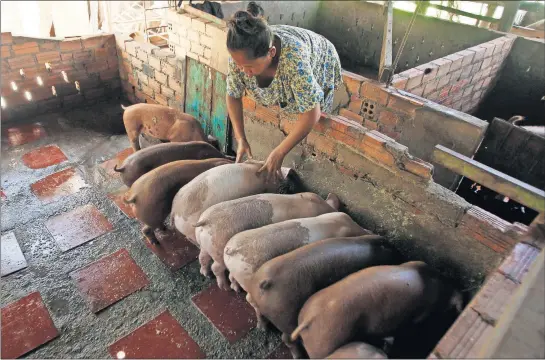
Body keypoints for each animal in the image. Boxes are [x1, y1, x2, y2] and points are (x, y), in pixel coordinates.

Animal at [194, 193, 340, 292]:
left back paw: (206, 274)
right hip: (217, 250)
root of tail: (205, 220)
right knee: (217, 267)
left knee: (202, 256)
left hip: (206, 244)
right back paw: (225, 288)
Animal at [221, 212, 370, 330]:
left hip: (236, 270)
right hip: (247, 276)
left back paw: (235, 289)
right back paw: (262, 326)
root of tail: (232, 250)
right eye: (355, 231)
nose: (369, 231)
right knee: (249, 298)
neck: (336, 224)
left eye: (354, 220)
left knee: (233, 278)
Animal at [249, 236, 402, 358]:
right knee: (287, 338)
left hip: (266, 307)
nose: (399, 253)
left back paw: (261, 329)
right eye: (392, 248)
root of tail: (265, 282)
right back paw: (299, 356)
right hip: (287, 314)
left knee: (260, 315)